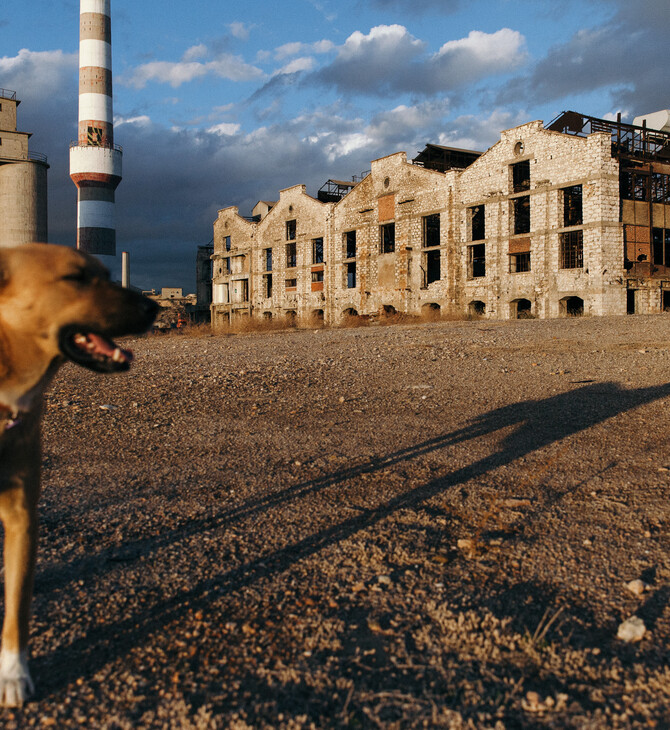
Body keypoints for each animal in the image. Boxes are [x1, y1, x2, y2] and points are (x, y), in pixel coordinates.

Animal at [0, 242, 158, 704]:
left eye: (106, 273)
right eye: (75, 277)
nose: (154, 307)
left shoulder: (22, 514)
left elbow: (18, 607)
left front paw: (13, 674)